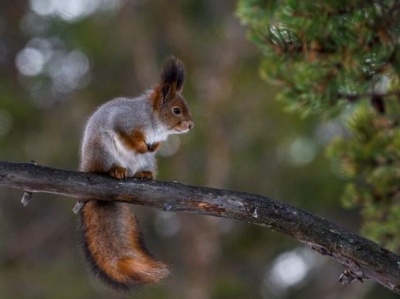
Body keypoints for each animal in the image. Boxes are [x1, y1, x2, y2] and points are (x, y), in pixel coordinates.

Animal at [76, 56, 195, 292]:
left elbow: (156, 145)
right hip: (103, 151)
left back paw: (144, 174)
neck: (154, 122)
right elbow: (129, 136)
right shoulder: (125, 121)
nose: (190, 125)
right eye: (177, 110)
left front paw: (154, 146)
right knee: (107, 166)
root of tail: (87, 164)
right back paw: (117, 170)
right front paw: (140, 145)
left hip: (145, 162)